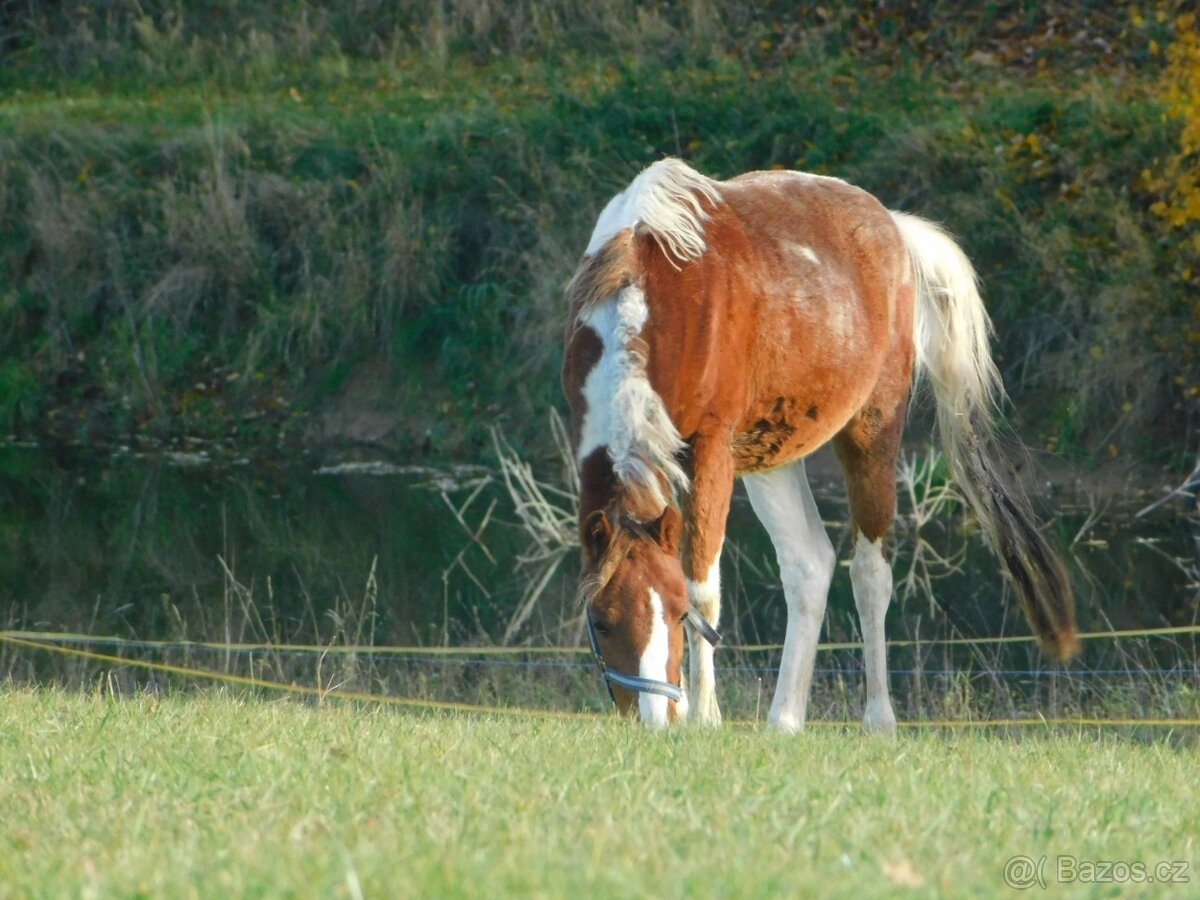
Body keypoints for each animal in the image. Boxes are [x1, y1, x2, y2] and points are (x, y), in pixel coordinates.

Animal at [561, 158, 1079, 733]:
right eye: (601, 622)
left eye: (676, 613)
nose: (655, 717)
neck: (652, 294)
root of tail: (894, 227)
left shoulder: (709, 449)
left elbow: (705, 587)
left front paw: (705, 716)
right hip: (770, 458)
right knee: (809, 565)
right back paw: (785, 719)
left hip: (871, 433)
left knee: (871, 574)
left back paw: (878, 718)